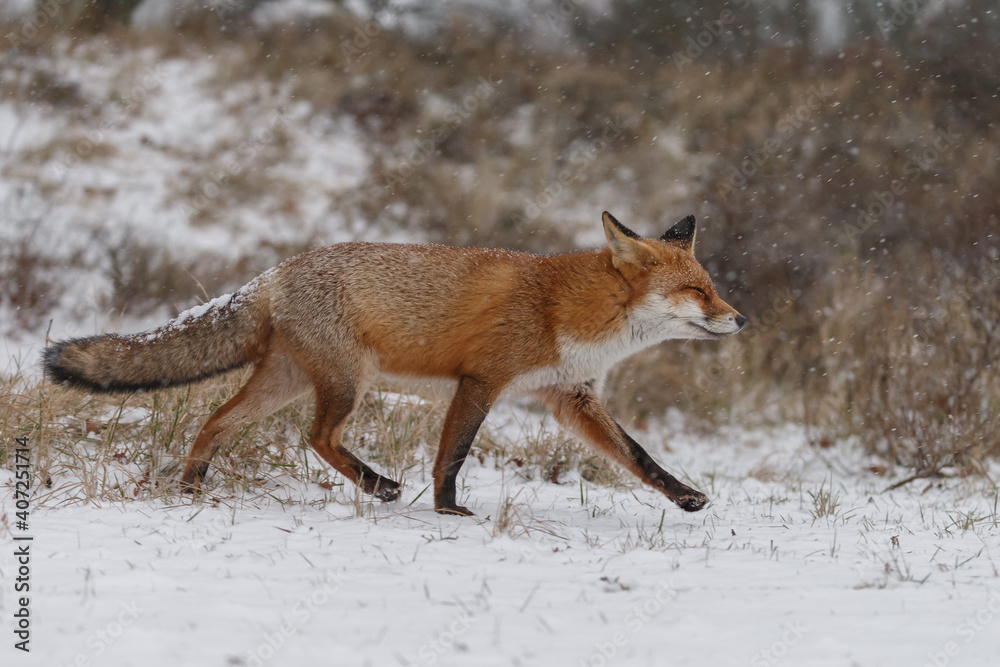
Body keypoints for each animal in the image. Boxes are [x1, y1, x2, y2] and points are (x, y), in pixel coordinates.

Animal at [44, 211, 745, 516]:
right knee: (318, 437)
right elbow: (453, 455)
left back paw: (191, 487)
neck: (571, 309)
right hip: (346, 383)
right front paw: (447, 509)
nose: (740, 320)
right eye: (699, 291)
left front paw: (685, 498)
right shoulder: (482, 380)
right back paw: (377, 485)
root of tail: (274, 273)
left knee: (217, 420)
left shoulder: (571, 396)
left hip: (287, 381)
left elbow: (639, 457)